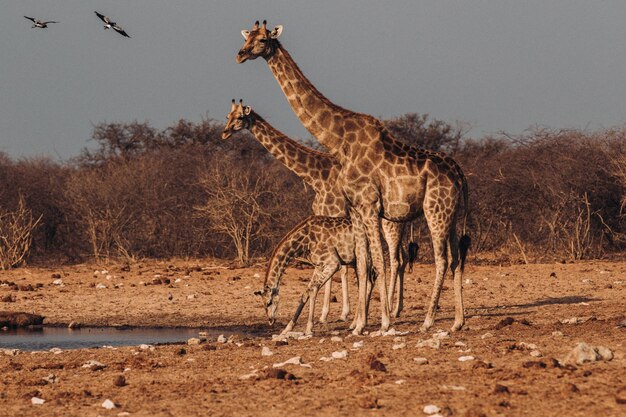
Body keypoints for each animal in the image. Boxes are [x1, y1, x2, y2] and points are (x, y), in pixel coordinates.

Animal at [222, 100, 412, 322]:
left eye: (239, 117)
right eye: (227, 116)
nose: (224, 133)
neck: (317, 176)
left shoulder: (336, 215)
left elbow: (343, 269)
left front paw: (334, 314)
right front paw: (333, 313)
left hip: (390, 226)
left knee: (395, 260)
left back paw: (390, 308)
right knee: (402, 259)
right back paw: (396, 308)